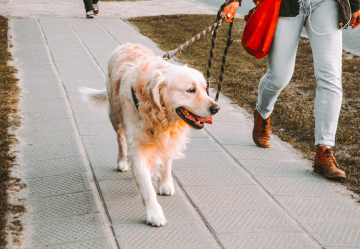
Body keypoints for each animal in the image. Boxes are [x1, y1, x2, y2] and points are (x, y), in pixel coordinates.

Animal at [80, 43, 219, 227]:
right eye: (190, 90)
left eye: (205, 89)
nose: (216, 108)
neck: (159, 115)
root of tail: (126, 44)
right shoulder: (138, 149)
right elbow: (146, 187)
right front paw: (154, 213)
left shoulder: (168, 138)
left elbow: (167, 161)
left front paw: (165, 183)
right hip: (115, 116)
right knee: (120, 139)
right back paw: (122, 162)